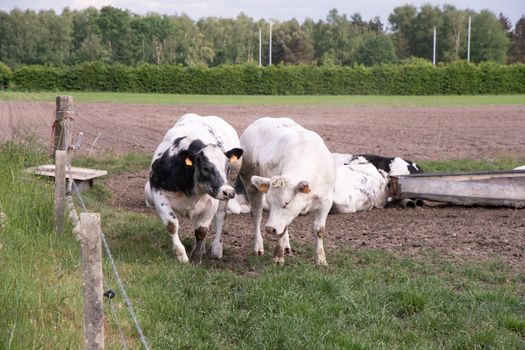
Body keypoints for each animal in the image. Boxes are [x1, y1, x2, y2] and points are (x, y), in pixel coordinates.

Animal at [143, 113, 242, 264]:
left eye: (227, 167)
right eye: (205, 167)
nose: (229, 192)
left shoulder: (212, 200)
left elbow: (201, 230)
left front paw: (196, 258)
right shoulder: (158, 192)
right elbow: (172, 224)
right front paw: (181, 255)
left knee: (220, 216)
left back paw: (216, 249)